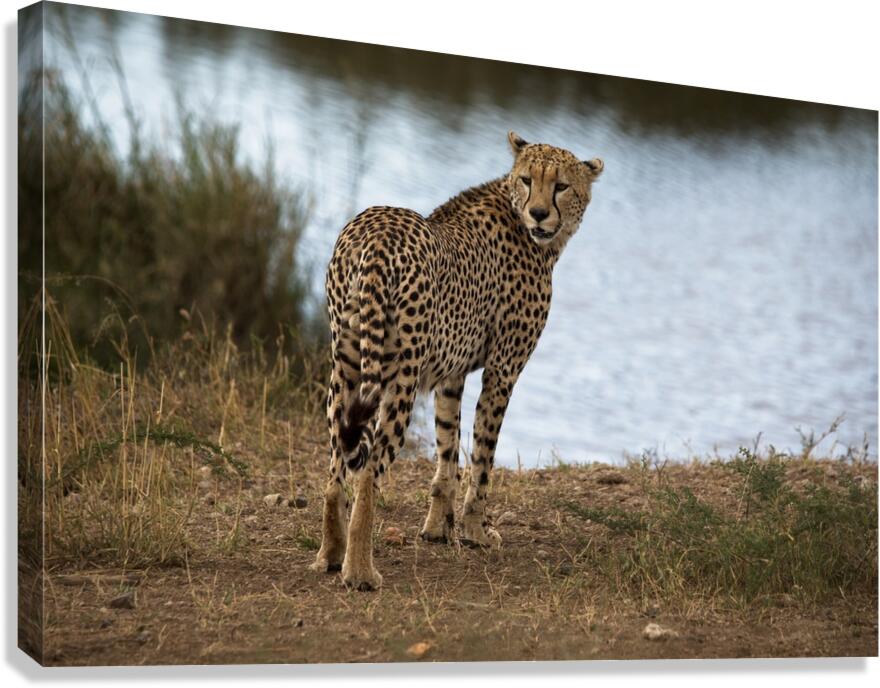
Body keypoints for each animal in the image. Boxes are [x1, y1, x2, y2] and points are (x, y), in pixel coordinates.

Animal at [310, 131, 604, 590]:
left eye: (561, 186)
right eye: (527, 180)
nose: (539, 214)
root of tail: (376, 230)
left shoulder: (451, 374)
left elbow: (447, 452)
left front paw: (437, 529)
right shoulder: (502, 372)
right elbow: (482, 457)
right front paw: (476, 530)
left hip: (346, 364)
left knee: (336, 466)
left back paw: (329, 554)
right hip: (400, 378)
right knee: (369, 473)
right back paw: (359, 571)